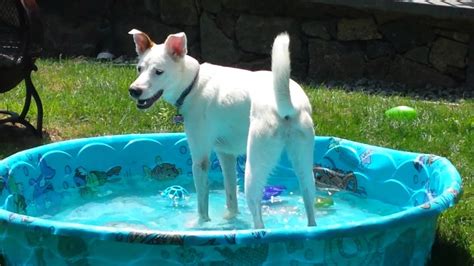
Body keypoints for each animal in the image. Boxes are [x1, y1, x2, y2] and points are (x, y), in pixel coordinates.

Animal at [128, 28, 316, 229]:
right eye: (139, 68)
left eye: (159, 72)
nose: (134, 90)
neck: (193, 83)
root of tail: (287, 105)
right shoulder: (226, 156)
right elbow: (231, 196)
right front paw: (229, 219)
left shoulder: (200, 162)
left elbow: (202, 205)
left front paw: (202, 224)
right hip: (305, 167)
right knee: (310, 208)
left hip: (254, 169)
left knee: (259, 222)